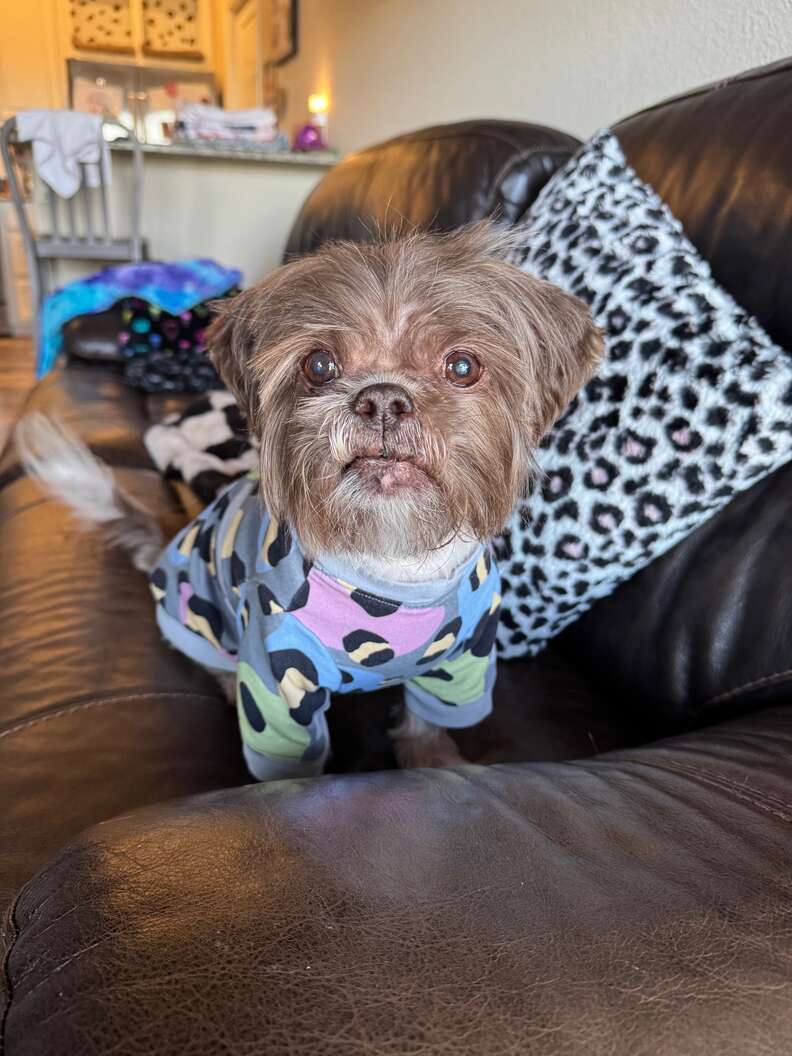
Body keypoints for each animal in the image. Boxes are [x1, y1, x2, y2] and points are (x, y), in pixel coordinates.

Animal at [17, 223, 602, 780]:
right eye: (319, 365)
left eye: (462, 366)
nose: (382, 399)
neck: (392, 559)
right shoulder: (277, 677)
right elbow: (288, 763)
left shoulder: (464, 661)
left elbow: (427, 725)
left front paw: (438, 765)